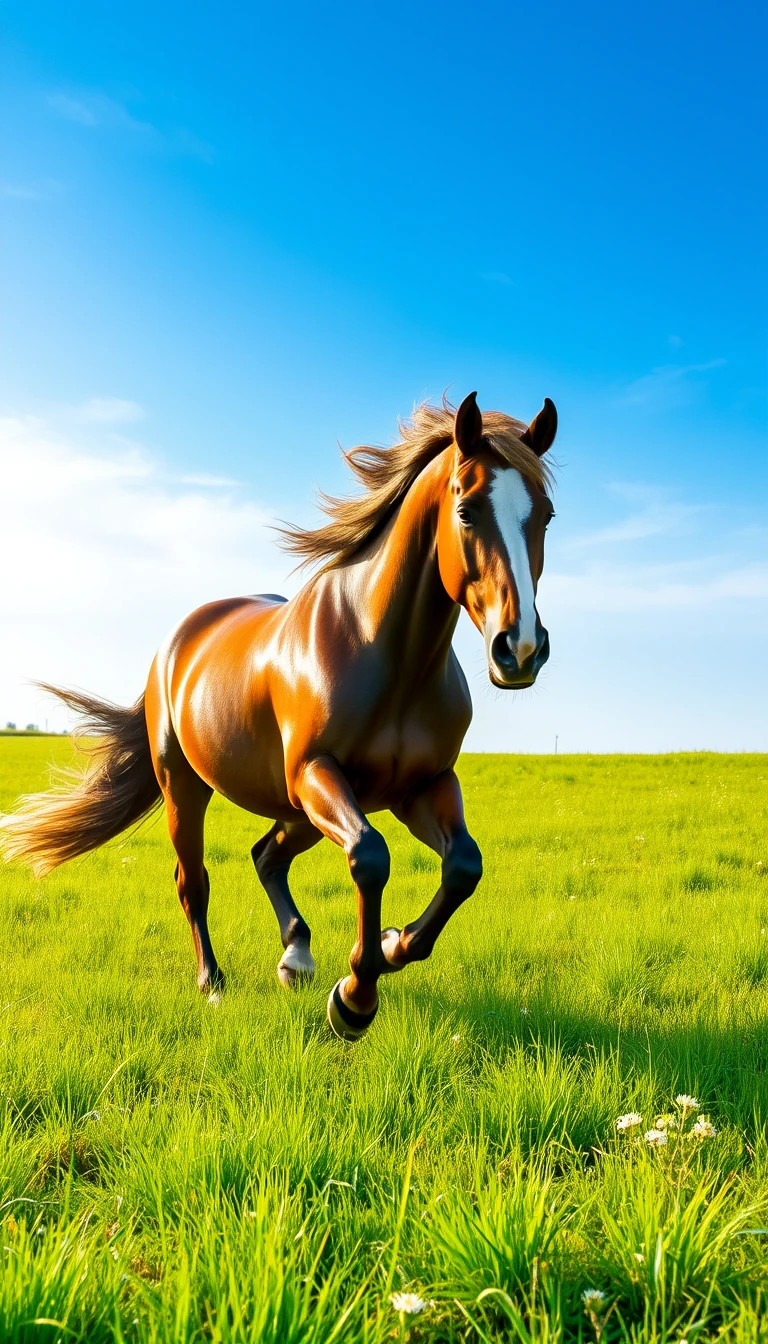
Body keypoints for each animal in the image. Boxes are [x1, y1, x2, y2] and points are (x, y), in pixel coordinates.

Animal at [0, 392, 557, 1039]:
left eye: (545, 515)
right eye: (467, 511)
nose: (520, 648)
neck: (385, 654)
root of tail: (177, 639)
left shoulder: (422, 786)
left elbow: (463, 866)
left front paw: (392, 945)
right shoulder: (318, 772)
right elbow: (370, 857)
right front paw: (355, 999)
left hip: (296, 808)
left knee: (267, 855)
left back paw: (297, 956)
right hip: (192, 787)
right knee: (194, 882)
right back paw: (213, 983)